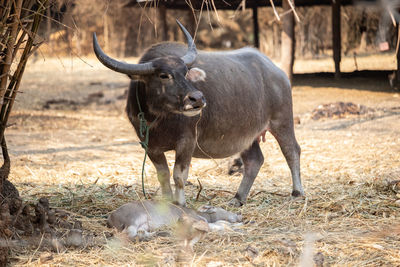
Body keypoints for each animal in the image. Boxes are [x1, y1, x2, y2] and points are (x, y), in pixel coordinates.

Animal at [92, 20, 304, 207]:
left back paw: (297, 192)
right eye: (163, 75)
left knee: (292, 151)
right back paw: (237, 199)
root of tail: (277, 72)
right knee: (254, 161)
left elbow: (179, 175)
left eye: (185, 72)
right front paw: (167, 203)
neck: (159, 118)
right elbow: (163, 175)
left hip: (282, 121)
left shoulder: (187, 141)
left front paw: (180, 203)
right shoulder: (150, 146)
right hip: (247, 135)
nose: (198, 98)